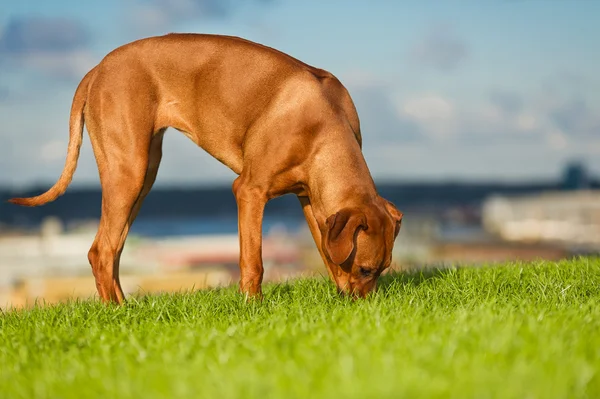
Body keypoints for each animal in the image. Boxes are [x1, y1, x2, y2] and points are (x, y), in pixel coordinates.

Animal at [8, 34, 404, 304]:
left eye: (384, 269)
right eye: (366, 269)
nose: (362, 309)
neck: (325, 123)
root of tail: (97, 68)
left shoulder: (311, 201)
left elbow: (326, 251)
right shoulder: (250, 191)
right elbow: (254, 260)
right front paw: (253, 306)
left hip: (143, 175)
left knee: (113, 246)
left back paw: (125, 306)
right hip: (129, 169)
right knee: (100, 251)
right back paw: (114, 312)